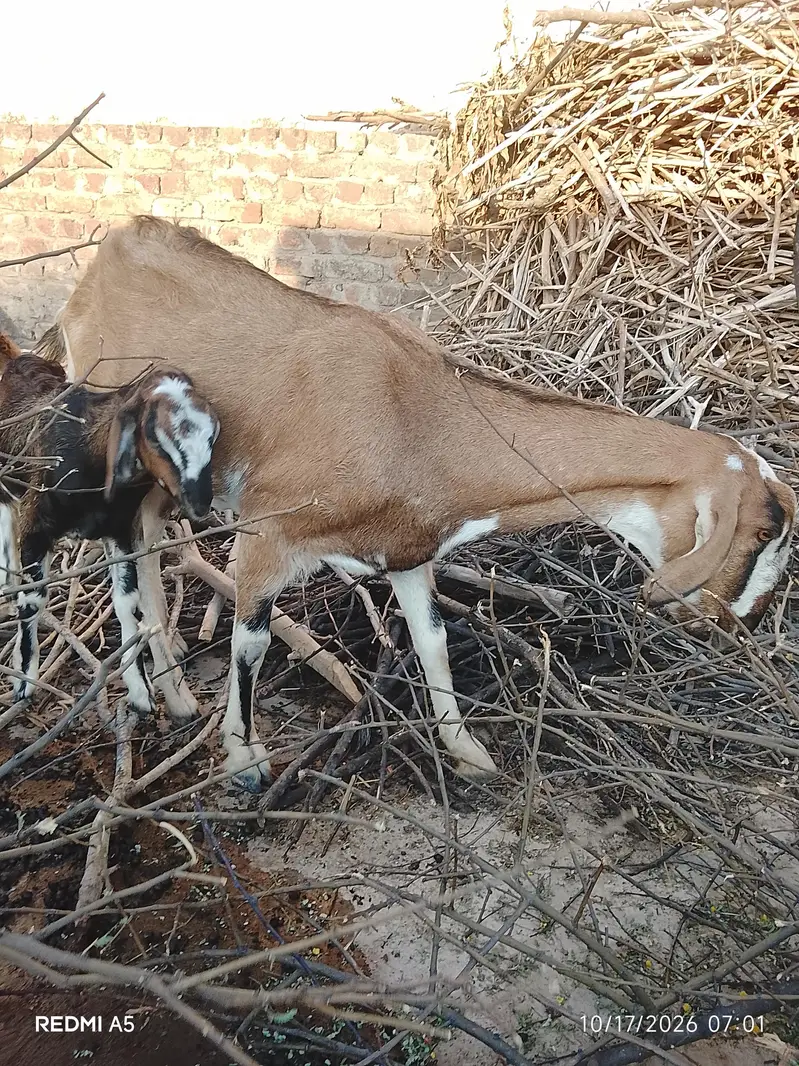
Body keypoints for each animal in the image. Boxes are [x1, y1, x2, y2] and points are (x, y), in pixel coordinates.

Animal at [0, 337, 219, 714]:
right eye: (154, 436)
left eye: (212, 434)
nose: (200, 503)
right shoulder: (36, 525)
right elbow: (34, 597)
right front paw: (24, 682)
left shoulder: (120, 533)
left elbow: (127, 601)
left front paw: (141, 691)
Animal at [33, 216, 797, 790]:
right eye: (762, 534)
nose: (746, 624)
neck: (414, 418)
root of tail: (108, 252)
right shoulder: (269, 533)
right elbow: (250, 642)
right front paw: (244, 761)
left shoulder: (406, 550)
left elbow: (432, 641)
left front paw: (468, 753)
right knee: (122, 555)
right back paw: (143, 694)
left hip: (163, 487)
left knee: (151, 548)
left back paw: (175, 693)